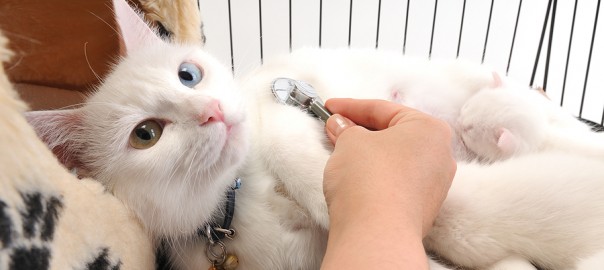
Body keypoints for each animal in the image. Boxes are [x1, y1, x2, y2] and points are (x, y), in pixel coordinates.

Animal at [26, 0, 604, 270]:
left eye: (188, 74)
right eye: (145, 134)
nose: (212, 111)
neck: (236, 201)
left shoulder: (273, 99)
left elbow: (287, 139)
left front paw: (327, 194)